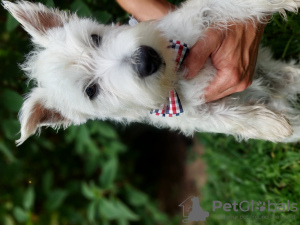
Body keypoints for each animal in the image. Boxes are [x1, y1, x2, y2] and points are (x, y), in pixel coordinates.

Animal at [2, 0, 300, 144]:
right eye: (91, 91)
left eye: (95, 38)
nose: (146, 59)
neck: (173, 77)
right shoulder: (196, 115)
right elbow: (231, 118)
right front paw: (273, 125)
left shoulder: (191, 23)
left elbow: (219, 5)